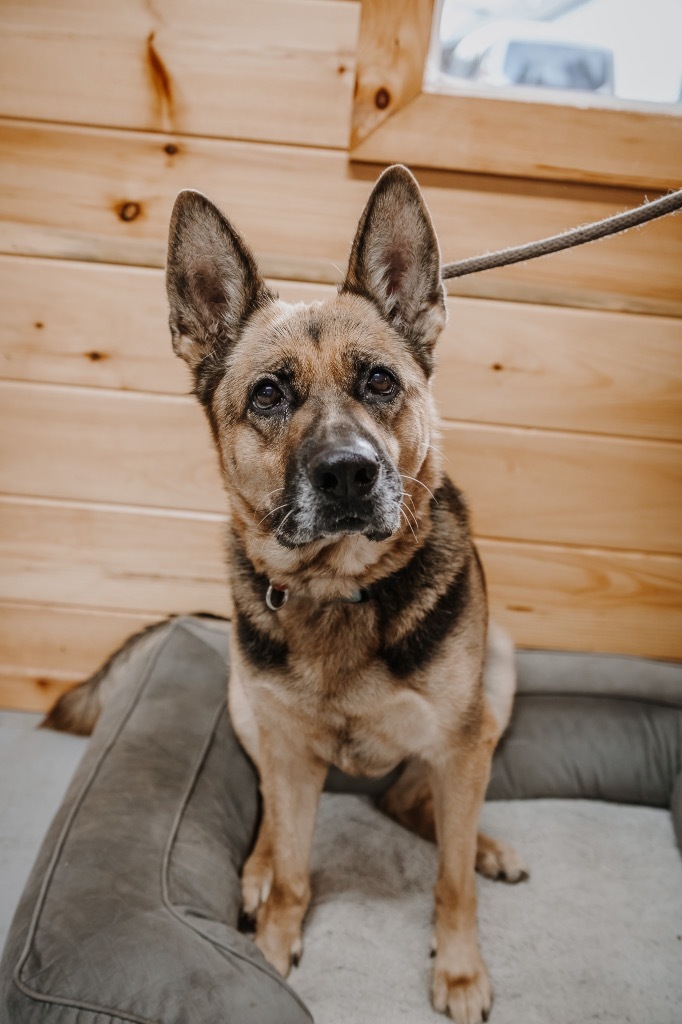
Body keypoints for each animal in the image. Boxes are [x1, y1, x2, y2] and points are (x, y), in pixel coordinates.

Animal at [49, 165, 524, 1015]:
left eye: (380, 381)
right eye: (268, 394)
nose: (348, 474)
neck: (340, 590)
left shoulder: (459, 744)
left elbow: (450, 879)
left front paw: (460, 968)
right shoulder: (292, 755)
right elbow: (298, 870)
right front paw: (272, 946)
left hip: (498, 678)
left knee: (422, 807)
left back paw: (484, 846)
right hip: (251, 709)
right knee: (279, 815)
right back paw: (259, 872)